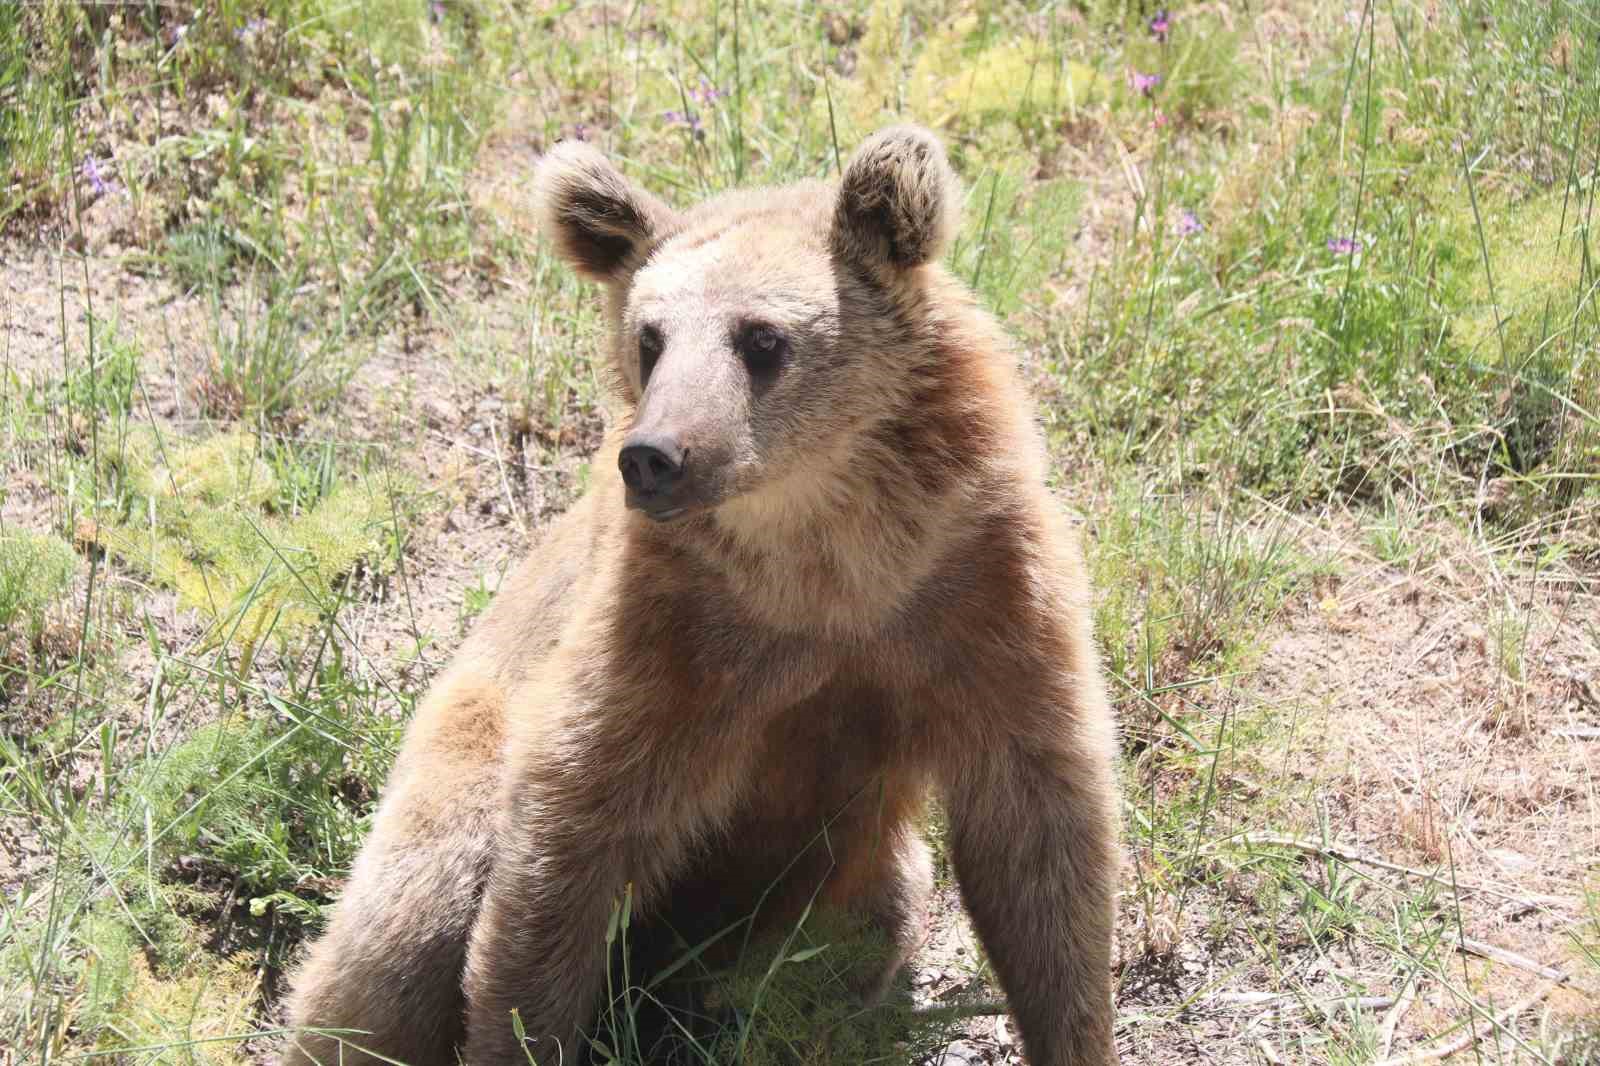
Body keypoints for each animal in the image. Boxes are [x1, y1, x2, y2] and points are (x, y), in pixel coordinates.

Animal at [281, 126, 1120, 1062]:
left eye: (761, 338)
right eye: (650, 337)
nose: (655, 454)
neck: (829, 554)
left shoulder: (975, 595)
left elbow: (1038, 830)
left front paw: (1073, 1025)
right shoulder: (675, 632)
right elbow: (566, 835)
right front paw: (522, 1033)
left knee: (853, 938)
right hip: (458, 746)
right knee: (407, 920)